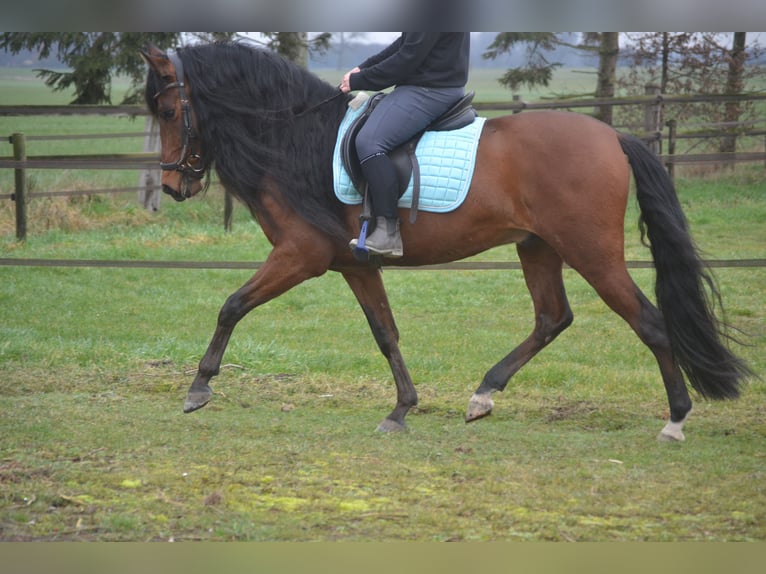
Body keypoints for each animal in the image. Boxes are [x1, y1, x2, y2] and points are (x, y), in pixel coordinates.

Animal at [140, 42, 751, 441]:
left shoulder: (301, 254)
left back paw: (676, 419)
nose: (172, 185)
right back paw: (483, 394)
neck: (296, 138)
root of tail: (613, 136)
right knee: (552, 318)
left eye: (169, 111)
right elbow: (385, 333)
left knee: (648, 322)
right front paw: (402, 409)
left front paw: (198, 388)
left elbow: (231, 305)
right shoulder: (354, 264)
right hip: (538, 247)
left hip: (592, 253)